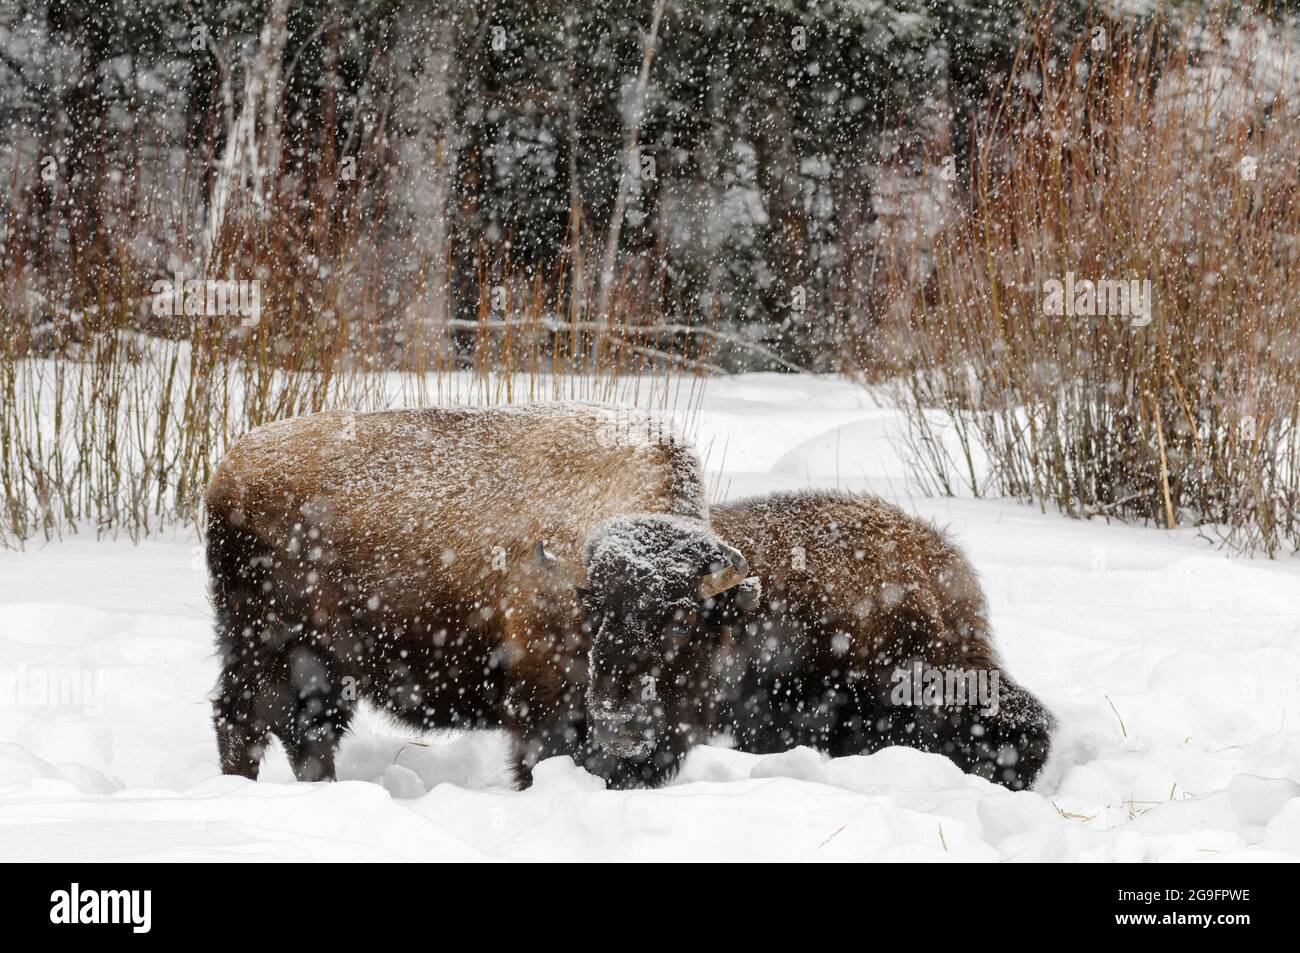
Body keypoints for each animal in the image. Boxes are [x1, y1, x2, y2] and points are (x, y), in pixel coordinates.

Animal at [206, 403, 759, 790]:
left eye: (685, 619)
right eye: (596, 612)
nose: (619, 722)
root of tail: (228, 470)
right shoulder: (544, 707)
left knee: (305, 733)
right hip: (268, 645)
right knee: (246, 721)